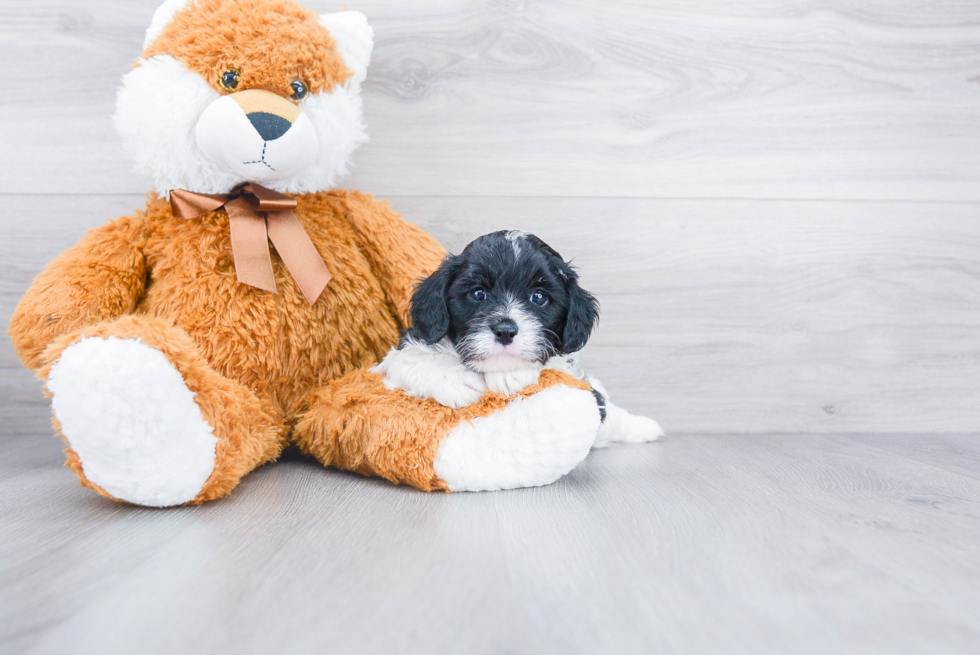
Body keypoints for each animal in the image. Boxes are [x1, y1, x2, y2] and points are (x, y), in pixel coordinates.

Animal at [372, 228, 664, 448]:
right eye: (478, 294)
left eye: (539, 297)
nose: (505, 329)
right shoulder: (395, 358)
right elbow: (415, 358)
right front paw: (455, 379)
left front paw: (511, 373)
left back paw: (643, 426)